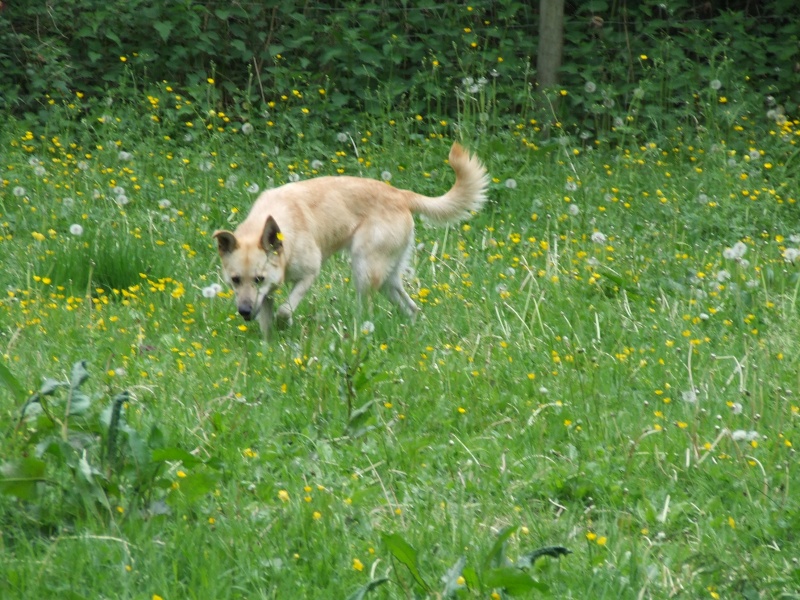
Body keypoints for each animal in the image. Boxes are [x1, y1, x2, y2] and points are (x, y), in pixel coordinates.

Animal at [212, 142, 488, 336]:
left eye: (258, 278)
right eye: (235, 280)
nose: (244, 312)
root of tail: (401, 194)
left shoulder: (308, 275)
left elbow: (284, 309)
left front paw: (284, 323)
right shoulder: (266, 293)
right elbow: (268, 319)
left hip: (363, 269)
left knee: (367, 311)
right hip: (387, 278)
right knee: (411, 307)